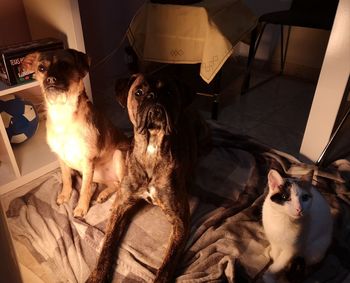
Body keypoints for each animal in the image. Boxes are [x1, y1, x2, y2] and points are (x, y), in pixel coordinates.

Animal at [20, 49, 130, 217]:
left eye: (64, 65)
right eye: (41, 68)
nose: (50, 79)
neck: (62, 113)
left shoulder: (87, 161)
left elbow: (84, 189)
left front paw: (81, 208)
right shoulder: (61, 157)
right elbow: (66, 179)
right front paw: (65, 195)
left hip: (117, 156)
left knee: (122, 187)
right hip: (97, 174)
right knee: (115, 183)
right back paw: (103, 195)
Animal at [86, 74, 209, 283]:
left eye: (169, 91)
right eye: (139, 92)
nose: (154, 96)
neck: (151, 148)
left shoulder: (180, 221)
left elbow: (167, 263)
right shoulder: (121, 207)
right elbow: (107, 244)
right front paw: (98, 275)